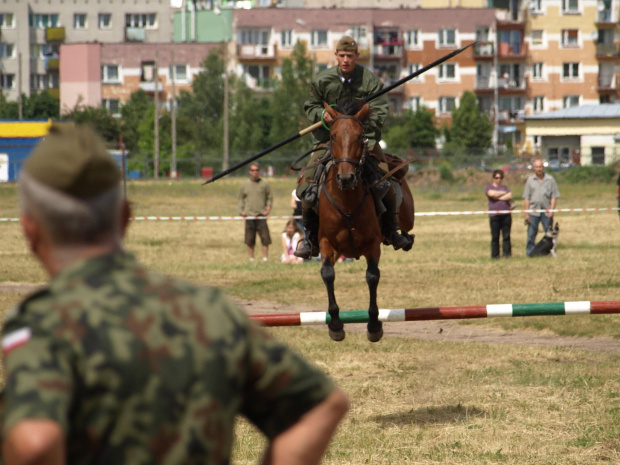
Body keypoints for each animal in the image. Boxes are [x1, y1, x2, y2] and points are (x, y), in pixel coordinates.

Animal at [318, 99, 414, 342]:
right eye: (332, 136)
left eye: (360, 136)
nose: (346, 177)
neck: (347, 201)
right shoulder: (326, 243)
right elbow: (328, 274)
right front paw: (335, 325)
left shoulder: (372, 244)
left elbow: (372, 276)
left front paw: (373, 326)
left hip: (407, 215)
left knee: (406, 229)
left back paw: (404, 238)